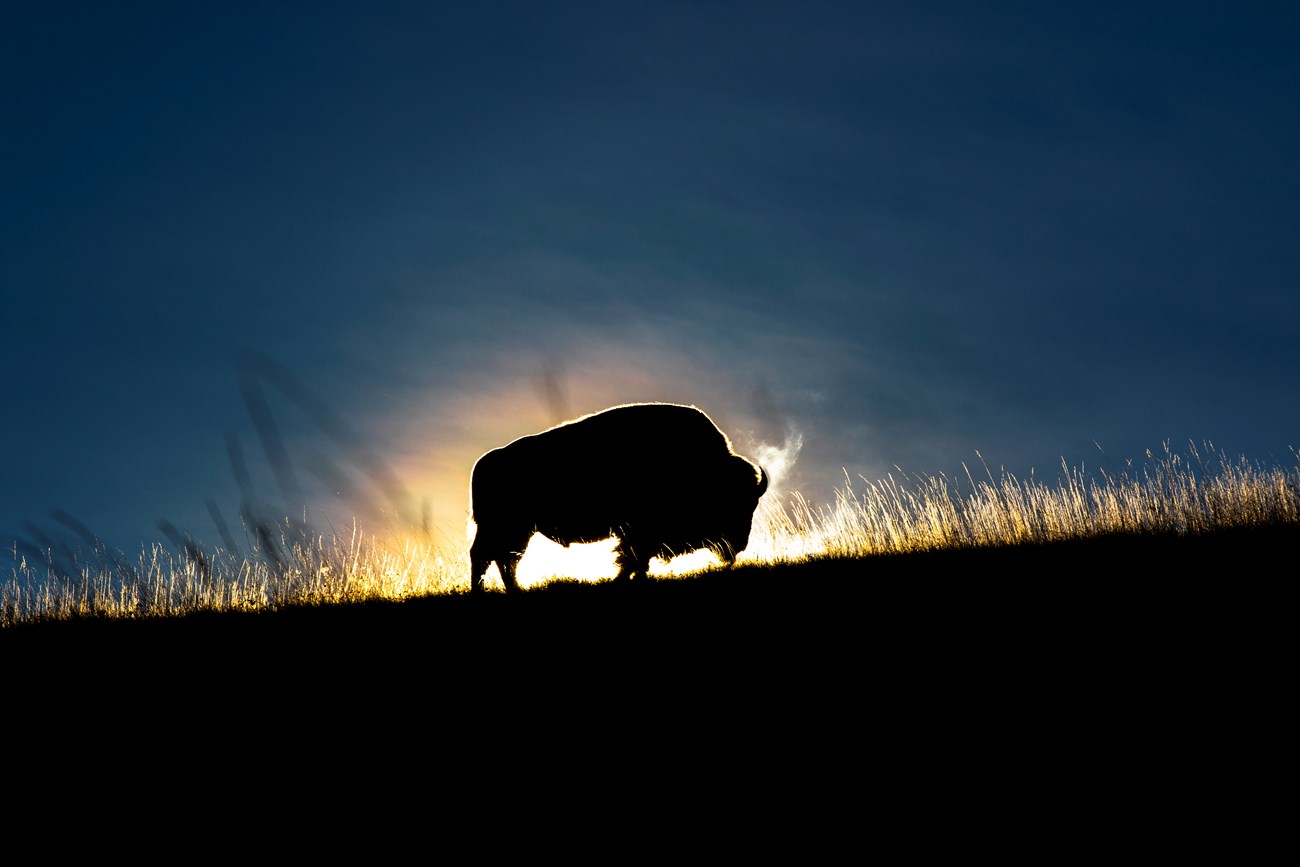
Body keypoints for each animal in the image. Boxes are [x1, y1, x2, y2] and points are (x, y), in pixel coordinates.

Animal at [470, 402, 764, 592]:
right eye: (735, 503)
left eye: (752, 504)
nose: (739, 545)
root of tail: (485, 463)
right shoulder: (640, 531)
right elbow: (632, 557)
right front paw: (622, 581)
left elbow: (636, 560)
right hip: (505, 528)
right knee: (489, 557)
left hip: (516, 530)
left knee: (501, 558)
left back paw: (512, 590)